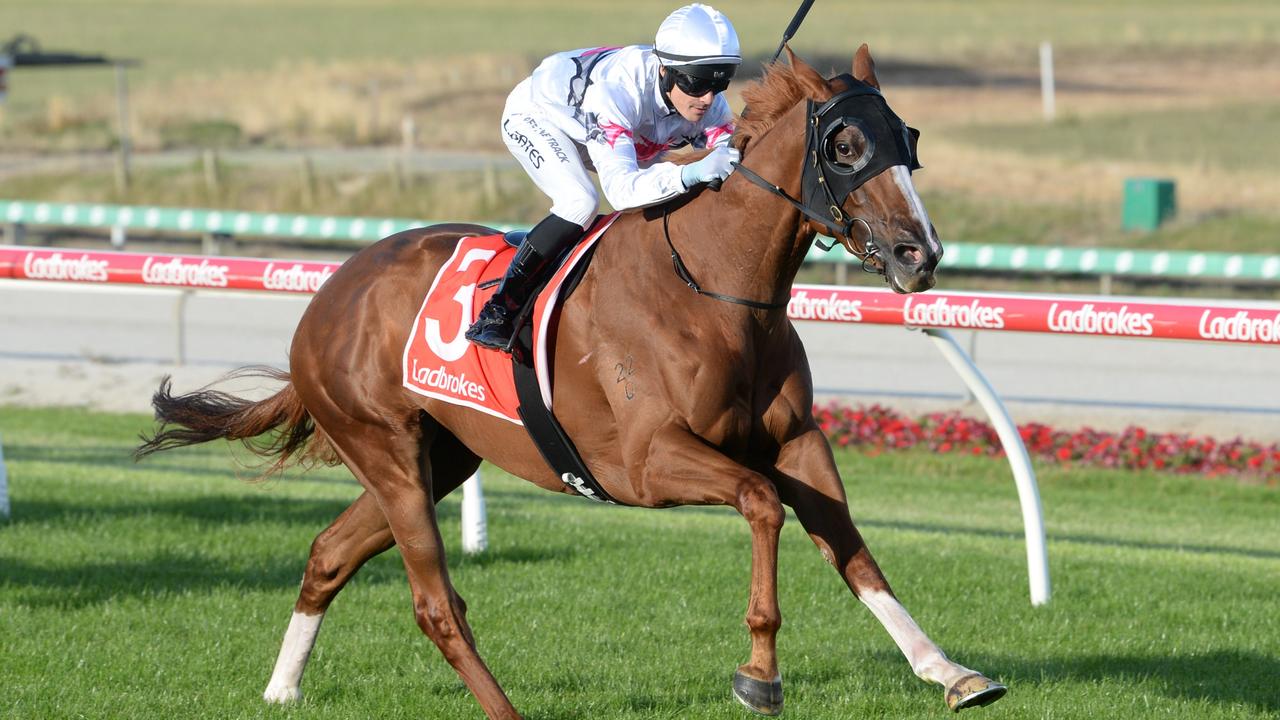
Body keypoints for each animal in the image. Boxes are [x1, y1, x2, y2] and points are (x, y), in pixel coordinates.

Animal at [135, 47, 1003, 712]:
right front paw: (759, 674)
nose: (920, 253)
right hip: (384, 449)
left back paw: (281, 689)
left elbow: (850, 546)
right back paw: (500, 709)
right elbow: (762, 505)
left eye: (906, 137)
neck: (715, 287)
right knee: (435, 605)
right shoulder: (648, 463)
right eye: (844, 146)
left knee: (327, 553)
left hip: (438, 458)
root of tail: (327, 295)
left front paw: (949, 671)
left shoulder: (797, 441)